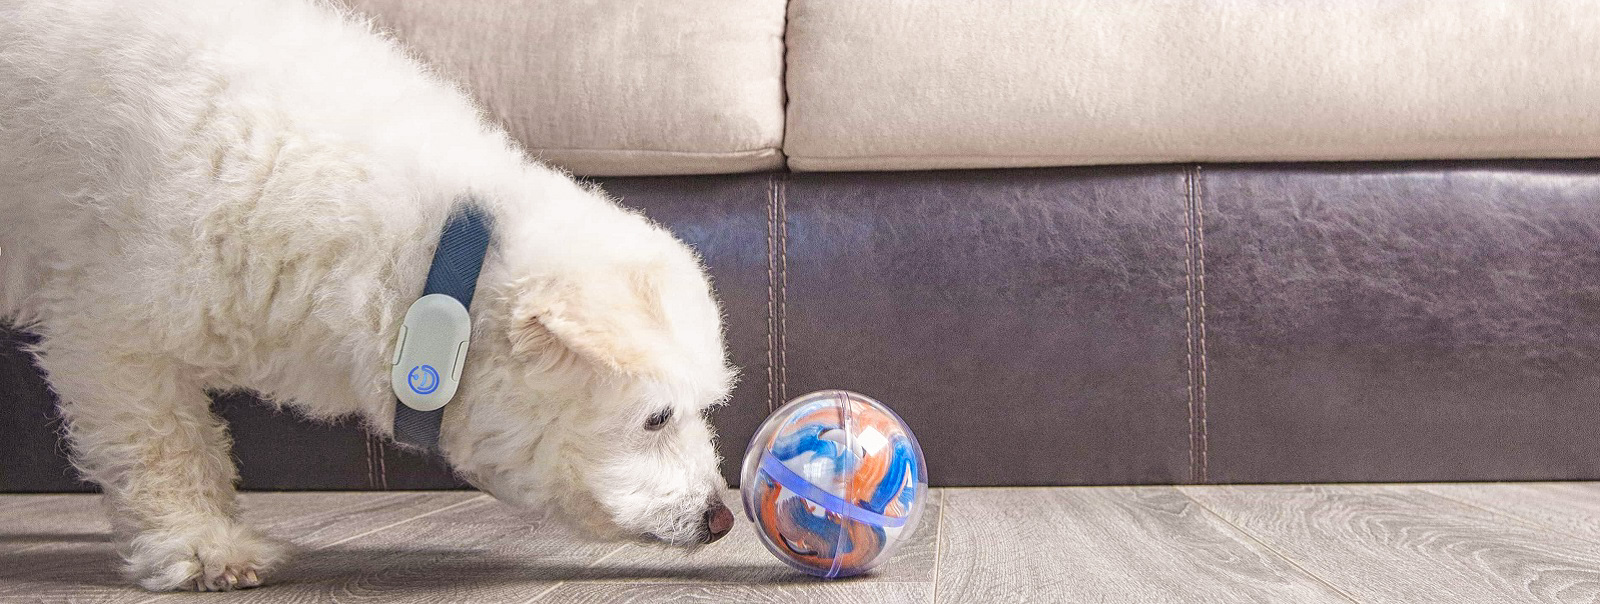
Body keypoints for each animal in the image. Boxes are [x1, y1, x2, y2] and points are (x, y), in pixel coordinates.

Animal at [0, 0, 736, 591]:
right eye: (657, 418)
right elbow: (165, 446)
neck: (430, 258)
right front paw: (202, 545)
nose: (722, 519)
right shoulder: (110, 330)